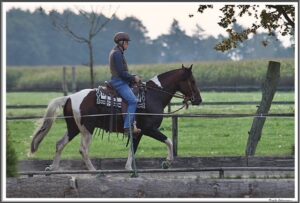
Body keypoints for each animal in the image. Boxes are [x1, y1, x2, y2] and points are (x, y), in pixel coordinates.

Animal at [30, 64, 202, 170]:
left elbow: (133, 149)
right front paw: (168, 162)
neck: (153, 96)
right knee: (83, 150)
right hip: (87, 129)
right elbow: (169, 141)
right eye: (192, 81)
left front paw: (129, 168)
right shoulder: (149, 129)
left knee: (60, 144)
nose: (199, 100)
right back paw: (93, 170)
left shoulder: (138, 132)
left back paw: (53, 167)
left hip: (74, 128)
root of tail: (70, 97)